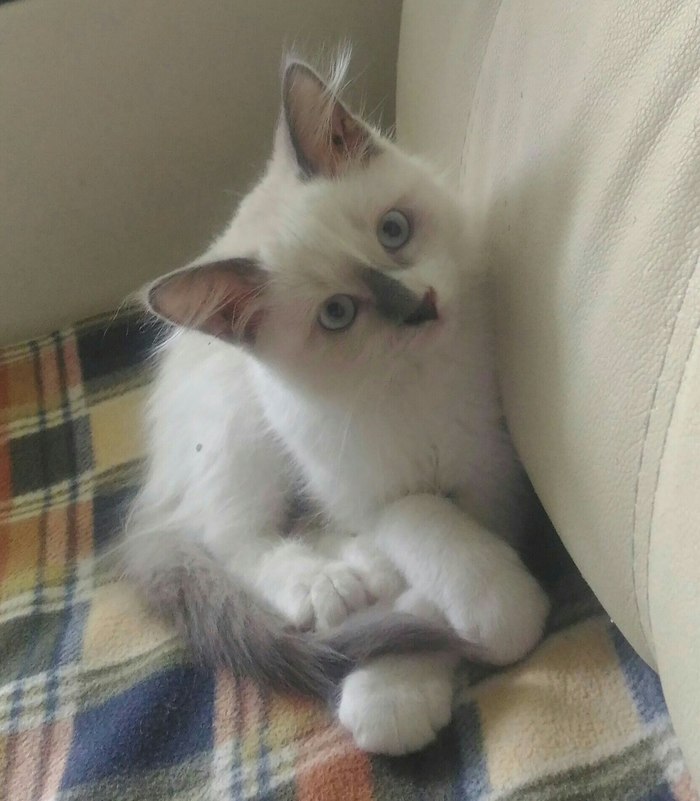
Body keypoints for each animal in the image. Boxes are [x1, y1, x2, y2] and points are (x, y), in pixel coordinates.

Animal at [123, 51, 550, 756]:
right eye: (338, 315)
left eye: (394, 230)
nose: (421, 306)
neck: (412, 386)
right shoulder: (364, 490)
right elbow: (416, 519)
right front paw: (423, 663)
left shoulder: (493, 476)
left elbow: (433, 577)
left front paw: (415, 671)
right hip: (241, 430)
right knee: (228, 536)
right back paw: (327, 584)